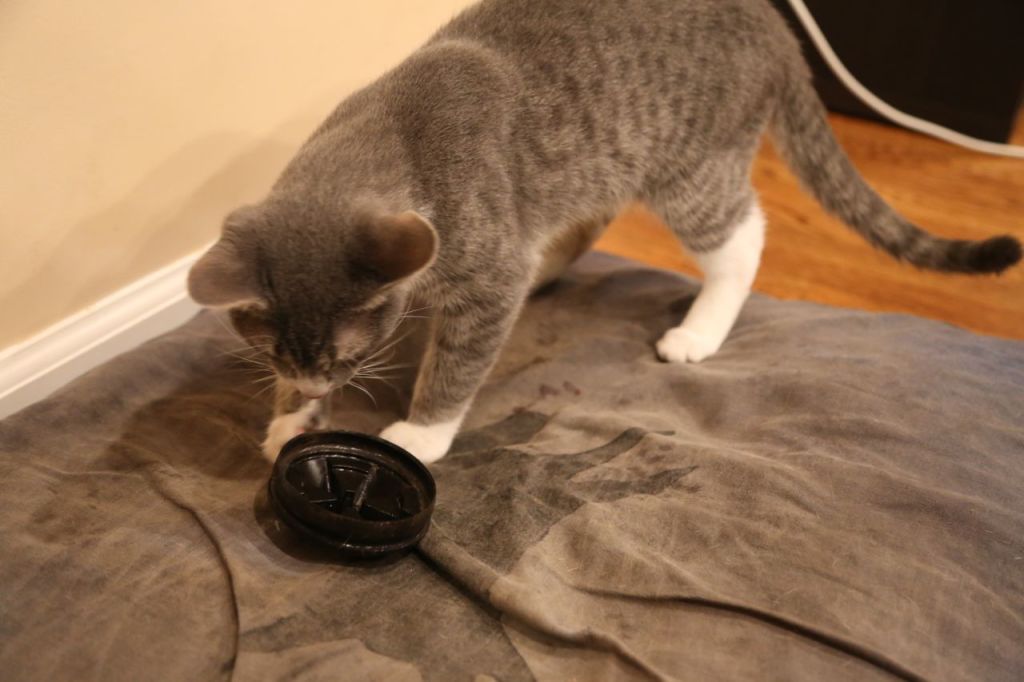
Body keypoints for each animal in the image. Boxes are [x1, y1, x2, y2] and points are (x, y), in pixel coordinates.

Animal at [188, 0, 1019, 462]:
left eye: (349, 355)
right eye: (274, 352)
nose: (313, 386)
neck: (392, 134)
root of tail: (779, 26)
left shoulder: (485, 269)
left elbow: (457, 362)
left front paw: (421, 433)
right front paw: (292, 416)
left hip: (693, 165)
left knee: (745, 234)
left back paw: (701, 329)